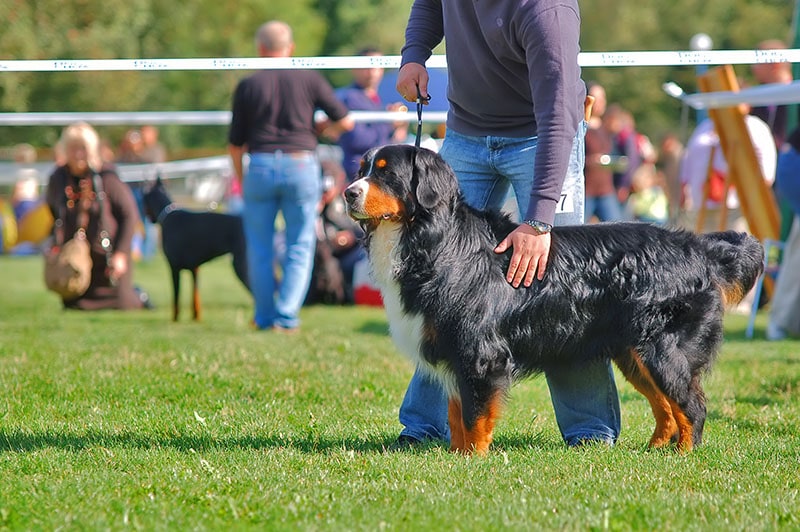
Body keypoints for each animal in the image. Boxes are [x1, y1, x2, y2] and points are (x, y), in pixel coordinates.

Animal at [141, 178, 247, 320]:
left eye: (143, 200)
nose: (147, 217)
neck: (168, 214)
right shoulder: (195, 269)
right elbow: (195, 298)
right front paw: (196, 318)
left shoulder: (174, 268)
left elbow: (176, 299)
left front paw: (175, 320)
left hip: (241, 266)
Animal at [342, 143, 764, 456]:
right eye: (363, 168)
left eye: (385, 173)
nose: (348, 193)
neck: (437, 242)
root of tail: (697, 246)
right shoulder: (455, 351)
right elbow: (456, 413)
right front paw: (456, 456)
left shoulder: (478, 352)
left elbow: (475, 415)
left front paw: (473, 459)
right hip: (634, 353)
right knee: (665, 407)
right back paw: (655, 450)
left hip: (664, 349)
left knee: (691, 405)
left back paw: (683, 454)